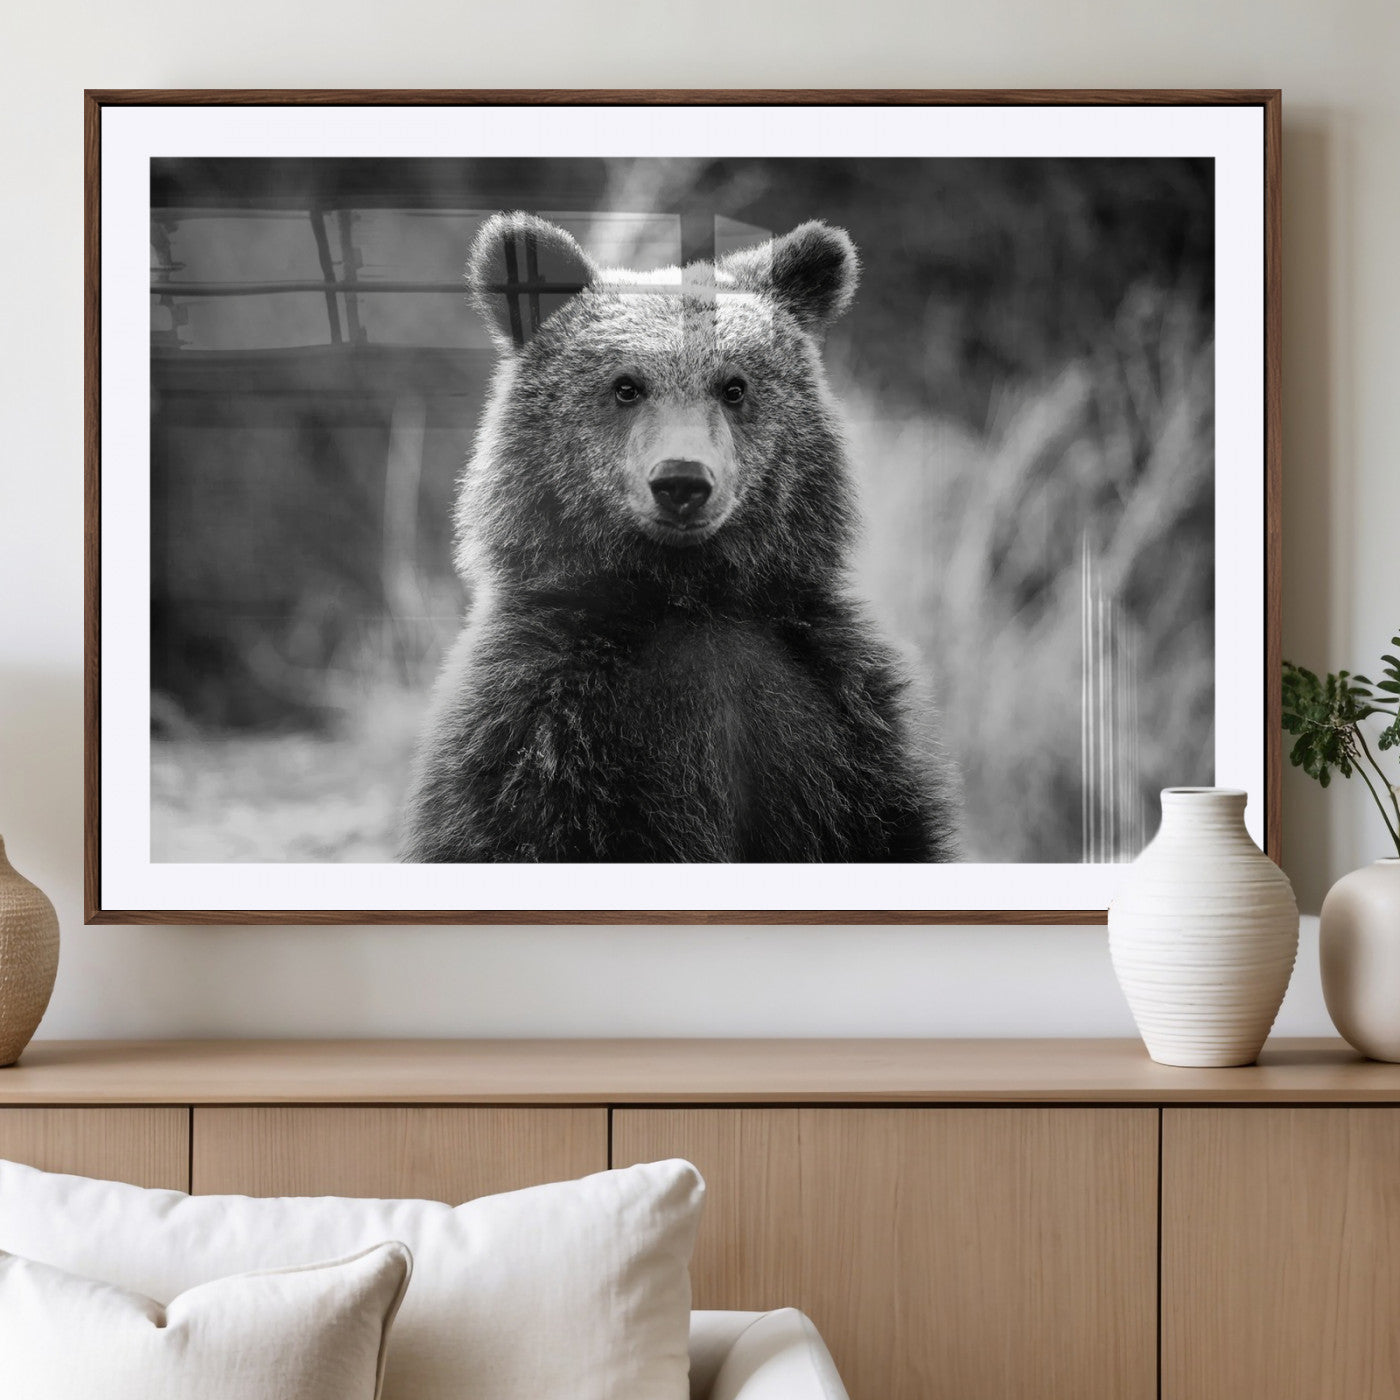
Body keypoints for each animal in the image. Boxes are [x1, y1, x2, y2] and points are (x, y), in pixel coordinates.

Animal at [400, 212, 958, 863]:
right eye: (626, 386)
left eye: (734, 386)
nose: (682, 481)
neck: (689, 597)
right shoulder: (536, 726)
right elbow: (508, 828)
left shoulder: (843, 720)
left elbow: (890, 829)